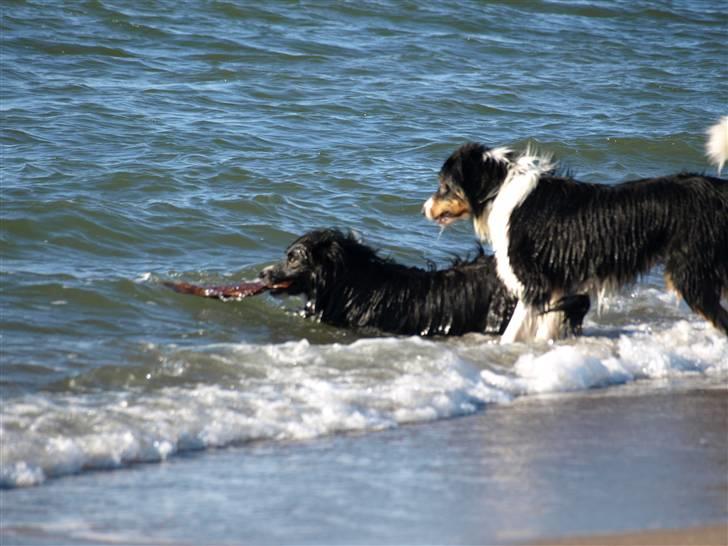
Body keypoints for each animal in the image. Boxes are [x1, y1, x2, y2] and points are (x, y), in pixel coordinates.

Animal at [424, 119, 724, 340]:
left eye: (444, 185)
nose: (424, 208)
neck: (497, 190)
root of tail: (717, 188)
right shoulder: (558, 284)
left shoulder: (535, 284)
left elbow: (512, 333)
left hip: (690, 275)